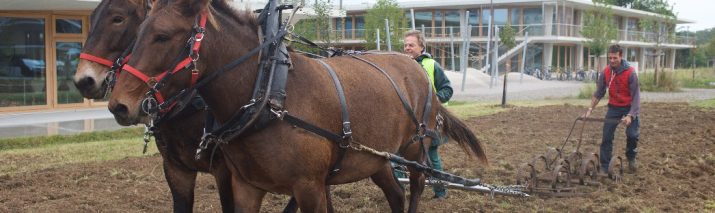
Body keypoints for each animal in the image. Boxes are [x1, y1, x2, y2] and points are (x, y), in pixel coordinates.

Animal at [107, 0, 486, 211]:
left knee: (416, 188)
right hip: (376, 157)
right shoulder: (246, 187)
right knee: (394, 194)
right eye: (138, 32)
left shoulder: (309, 188)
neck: (268, 93)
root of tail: (416, 65)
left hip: (414, 150)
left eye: (162, 36)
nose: (118, 105)